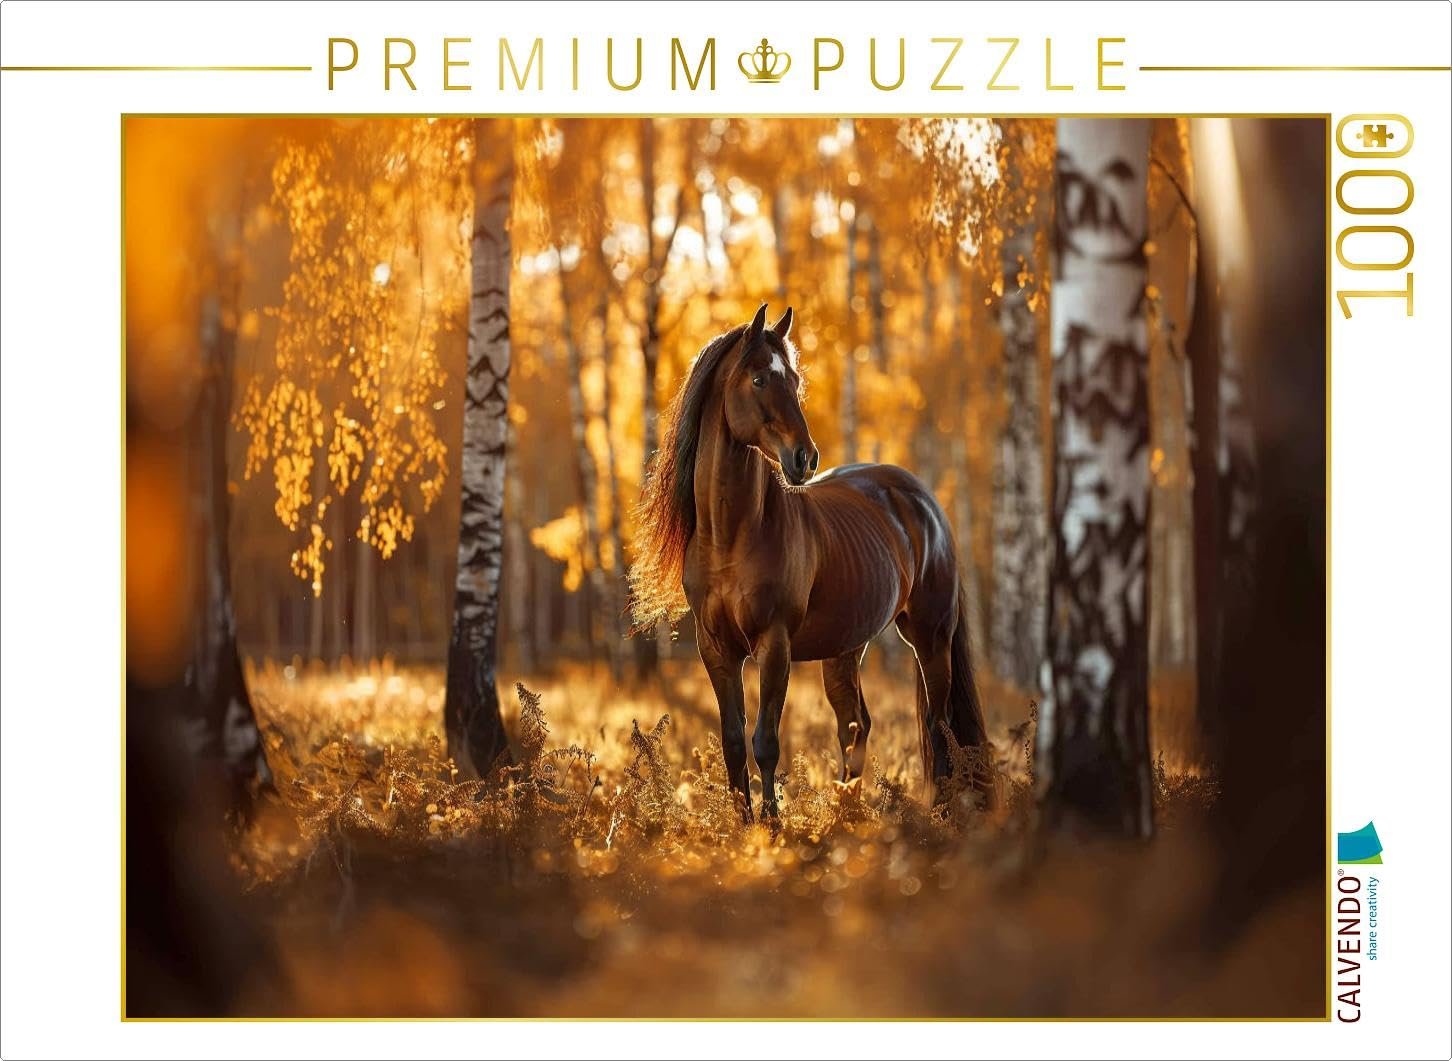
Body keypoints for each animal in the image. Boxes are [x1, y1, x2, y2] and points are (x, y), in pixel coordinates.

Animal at [630, 304, 993, 822]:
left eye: (795, 378)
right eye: (759, 379)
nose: (805, 458)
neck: (733, 534)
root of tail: (925, 502)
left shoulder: (774, 645)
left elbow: (765, 741)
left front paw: (771, 826)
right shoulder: (715, 649)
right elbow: (733, 742)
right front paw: (742, 826)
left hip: (929, 635)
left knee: (938, 725)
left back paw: (941, 814)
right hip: (845, 647)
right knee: (855, 726)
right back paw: (847, 815)